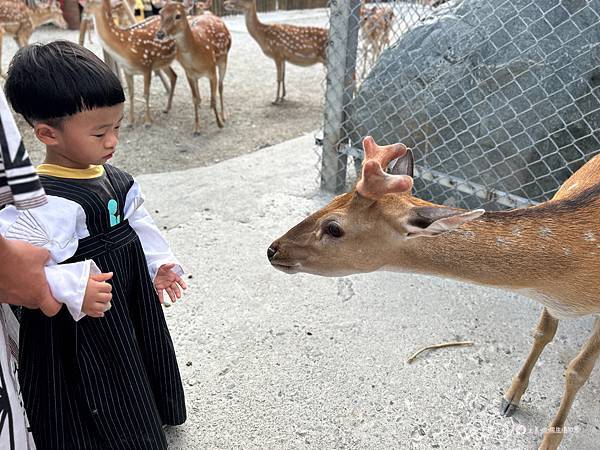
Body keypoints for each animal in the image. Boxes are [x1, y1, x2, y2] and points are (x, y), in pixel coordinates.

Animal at [155, 1, 230, 133]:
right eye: (160, 13)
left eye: (178, 15)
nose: (160, 34)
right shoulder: (189, 74)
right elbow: (194, 98)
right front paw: (196, 127)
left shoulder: (212, 70)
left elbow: (213, 98)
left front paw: (219, 123)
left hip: (223, 59)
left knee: (221, 87)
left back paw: (223, 115)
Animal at [270, 135, 600, 448]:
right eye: (336, 197)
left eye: (334, 228)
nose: (273, 249)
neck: (559, 286)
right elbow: (542, 334)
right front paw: (509, 398)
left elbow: (577, 371)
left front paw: (548, 441)